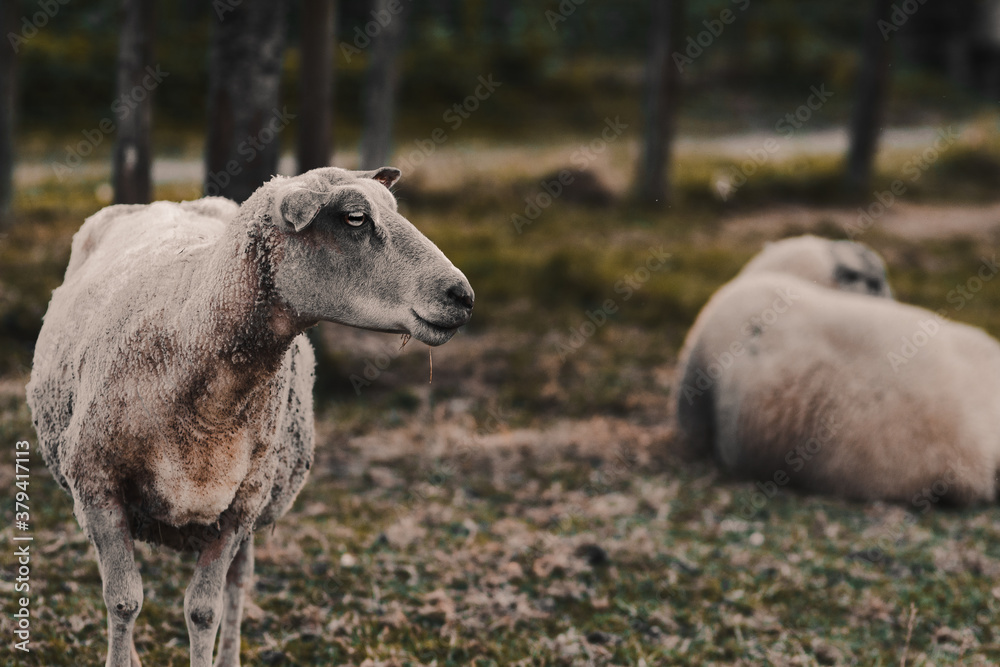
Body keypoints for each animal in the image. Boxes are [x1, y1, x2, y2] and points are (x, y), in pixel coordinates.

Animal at [26, 166, 474, 667]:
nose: (463, 294)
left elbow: (205, 610)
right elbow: (123, 601)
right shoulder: (98, 487)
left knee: (240, 584)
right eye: (355, 218)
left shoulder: (240, 506)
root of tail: (171, 202)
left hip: (258, 501)